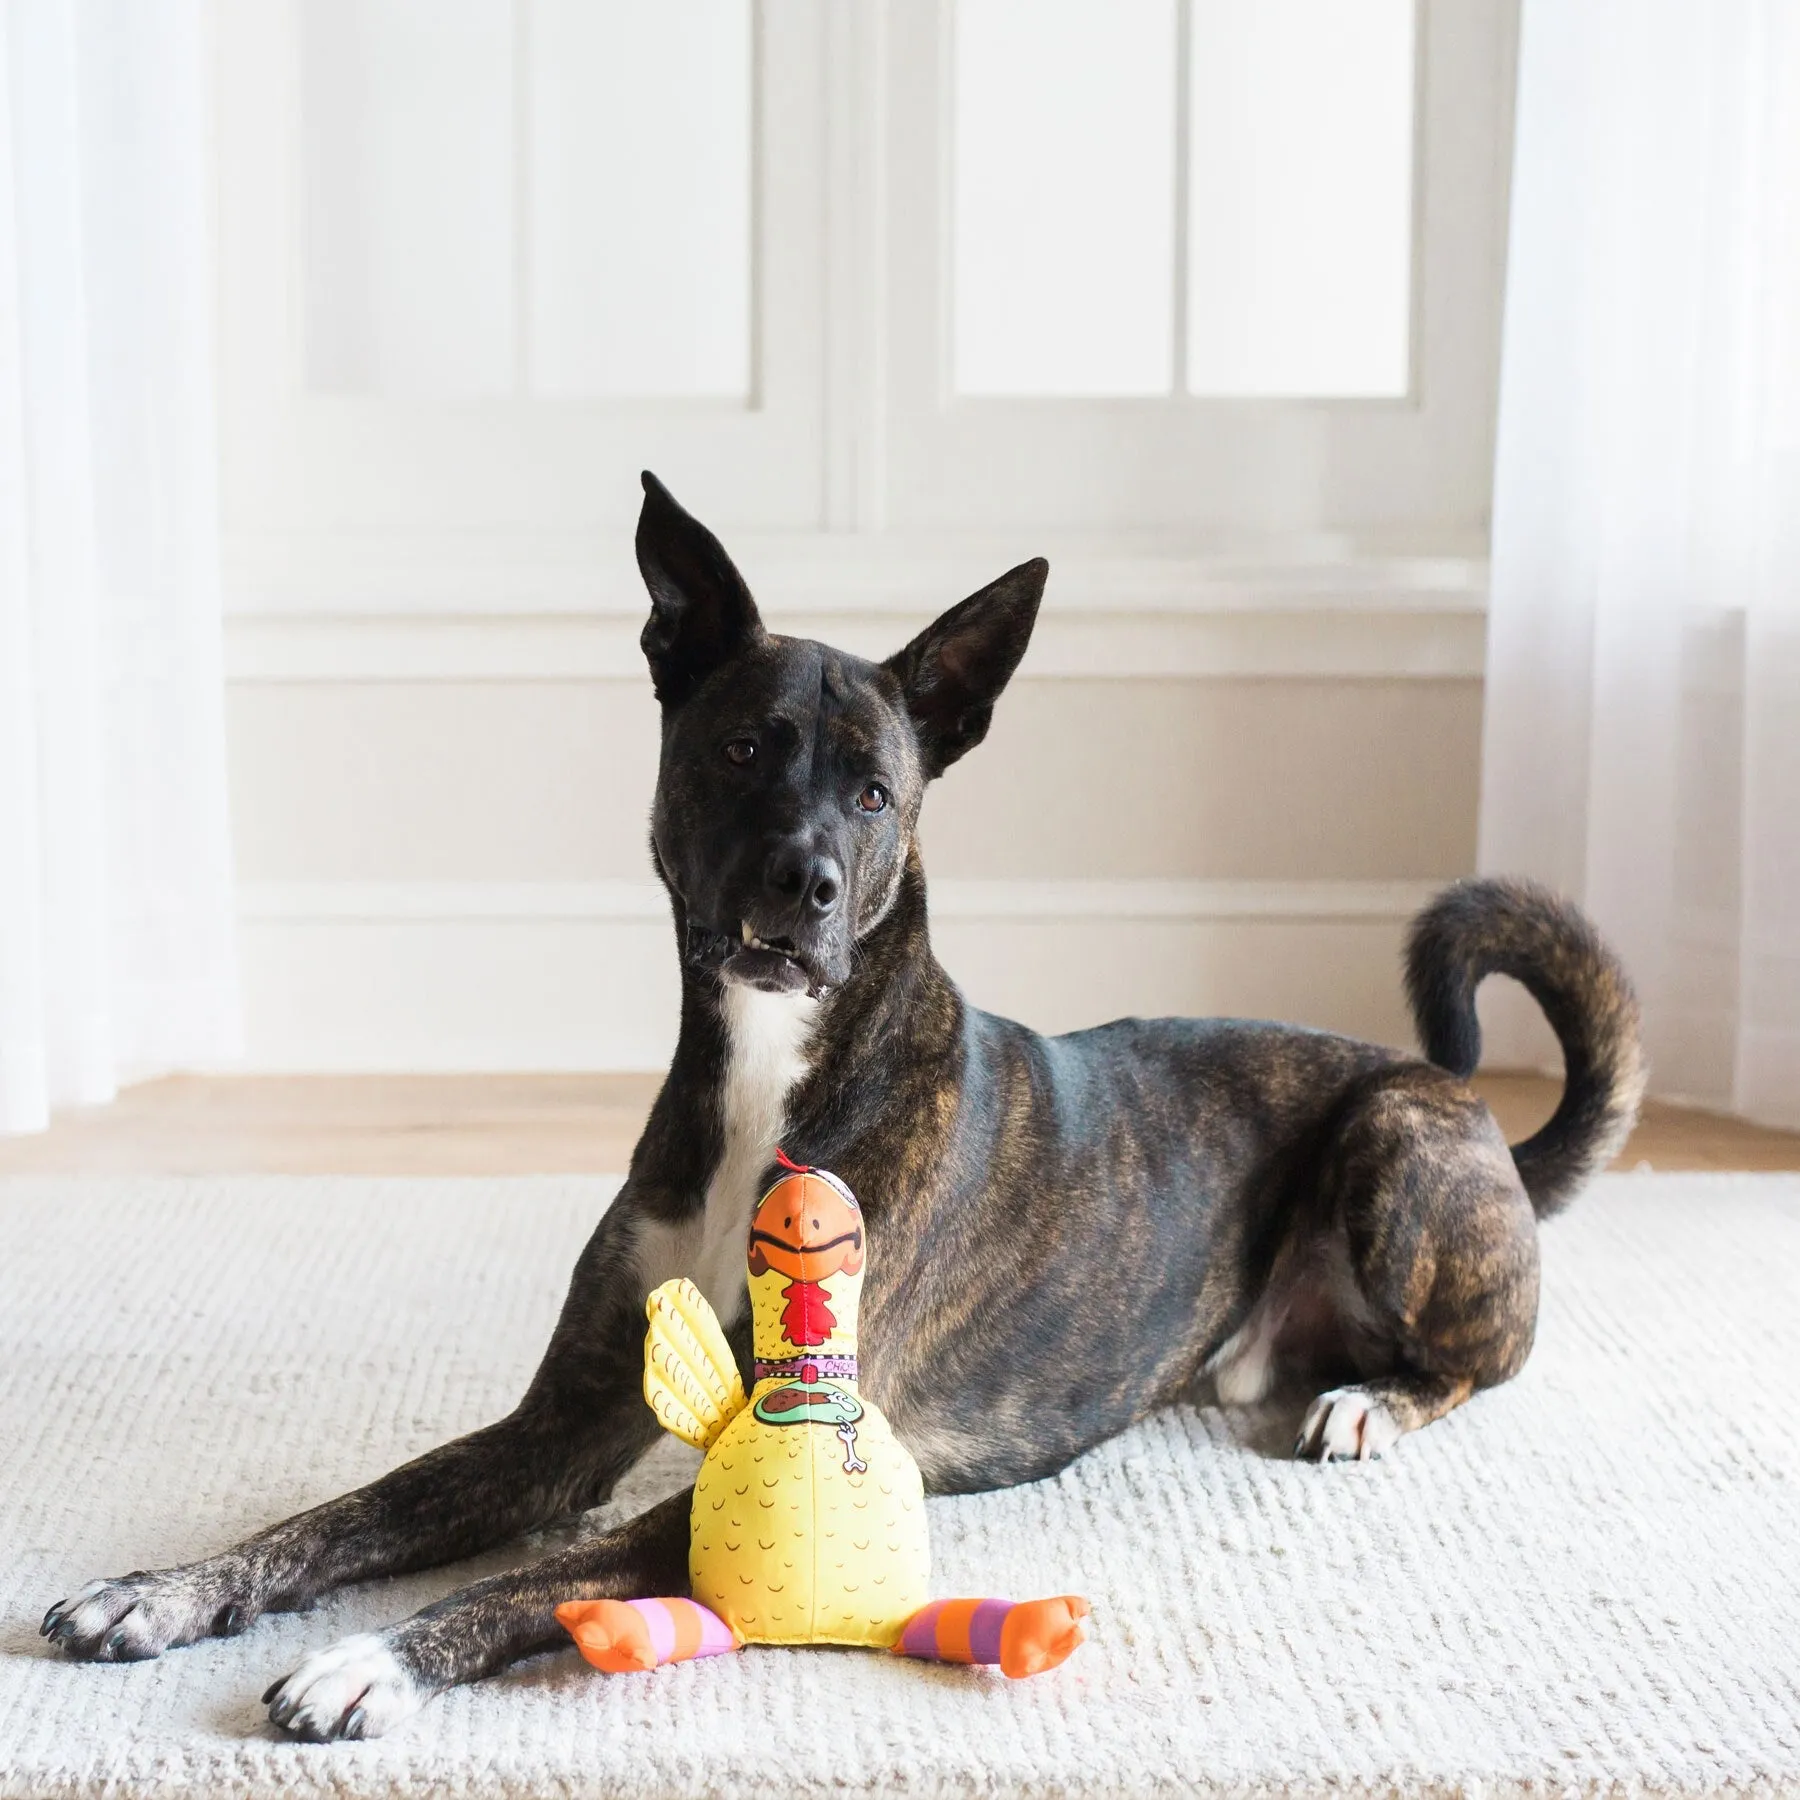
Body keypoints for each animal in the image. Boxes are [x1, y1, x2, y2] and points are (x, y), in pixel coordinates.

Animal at [42, 471, 1648, 1735]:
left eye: (876, 792)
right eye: (741, 748)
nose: (802, 882)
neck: (774, 1067)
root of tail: (1469, 1110)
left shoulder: (767, 1451)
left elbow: (531, 1582)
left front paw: (367, 1662)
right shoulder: (558, 1428)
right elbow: (349, 1511)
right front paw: (161, 1594)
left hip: (1393, 1140)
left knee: (1479, 1364)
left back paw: (1369, 1403)